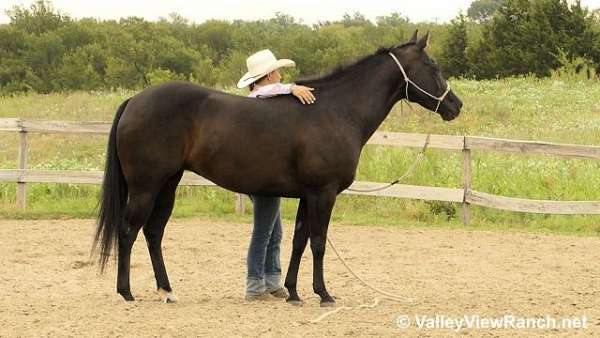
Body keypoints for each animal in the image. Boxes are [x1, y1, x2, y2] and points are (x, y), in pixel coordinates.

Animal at [94, 31, 462, 306]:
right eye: (432, 65)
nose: (455, 105)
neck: (337, 111)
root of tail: (135, 100)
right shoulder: (324, 193)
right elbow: (318, 242)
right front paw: (324, 294)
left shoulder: (307, 195)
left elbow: (299, 240)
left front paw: (294, 292)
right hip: (145, 187)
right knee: (128, 231)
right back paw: (126, 292)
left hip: (168, 184)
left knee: (153, 232)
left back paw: (167, 290)